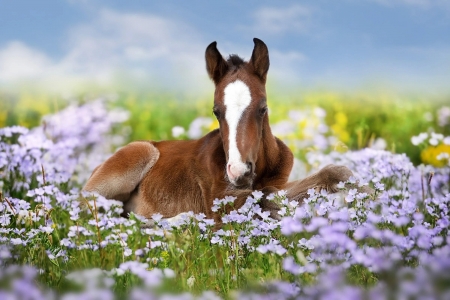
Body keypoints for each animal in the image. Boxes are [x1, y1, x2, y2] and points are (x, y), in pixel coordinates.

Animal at [82, 37, 354, 224]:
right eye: (216, 111)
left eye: (263, 108)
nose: (239, 171)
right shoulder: (223, 203)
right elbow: (263, 199)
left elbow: (335, 171)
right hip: (135, 158)